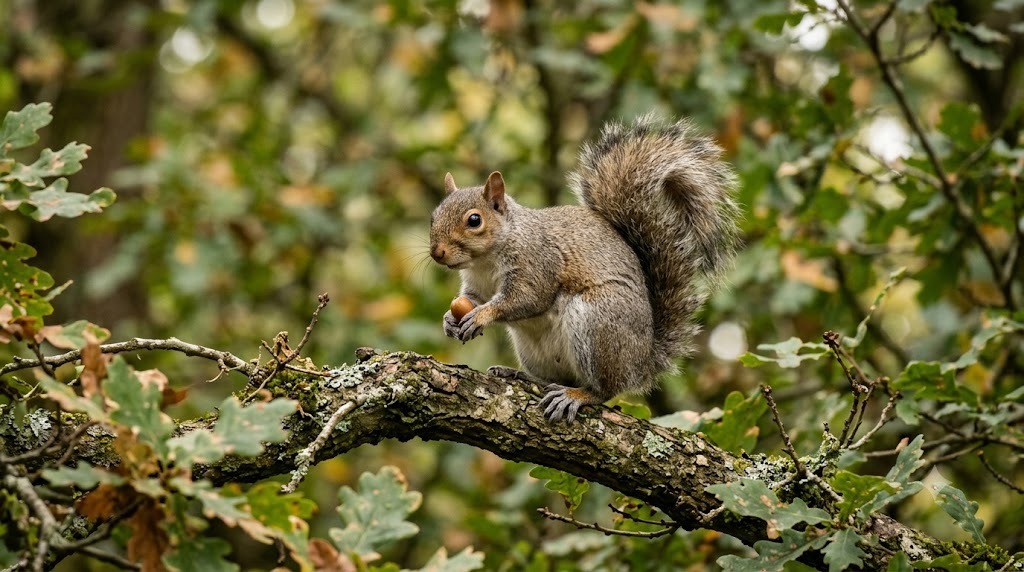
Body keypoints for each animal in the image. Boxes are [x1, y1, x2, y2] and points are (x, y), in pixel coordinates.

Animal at [429, 115, 740, 423]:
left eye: (474, 220)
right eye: (434, 216)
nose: (437, 252)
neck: (485, 260)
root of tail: (642, 362)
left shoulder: (537, 263)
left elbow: (527, 298)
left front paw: (482, 316)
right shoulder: (476, 283)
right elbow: (472, 299)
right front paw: (449, 319)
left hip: (598, 320)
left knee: (604, 389)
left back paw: (577, 395)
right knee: (557, 378)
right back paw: (520, 375)